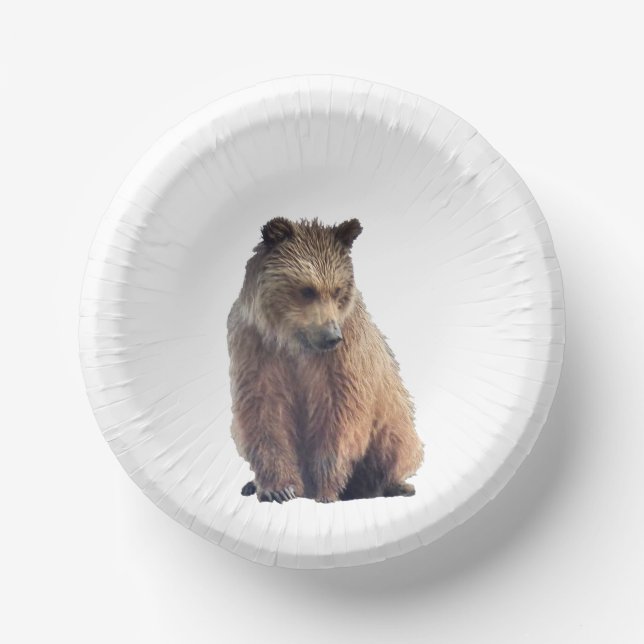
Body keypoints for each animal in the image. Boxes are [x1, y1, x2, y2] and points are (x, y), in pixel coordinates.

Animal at [227, 217, 424, 503]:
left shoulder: (343, 356)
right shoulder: (257, 347)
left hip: (393, 419)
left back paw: (389, 486)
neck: (294, 341)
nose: (332, 337)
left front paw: (325, 490)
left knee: (394, 446)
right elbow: (264, 410)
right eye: (307, 290)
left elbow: (338, 411)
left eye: (338, 289)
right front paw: (279, 489)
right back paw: (251, 485)